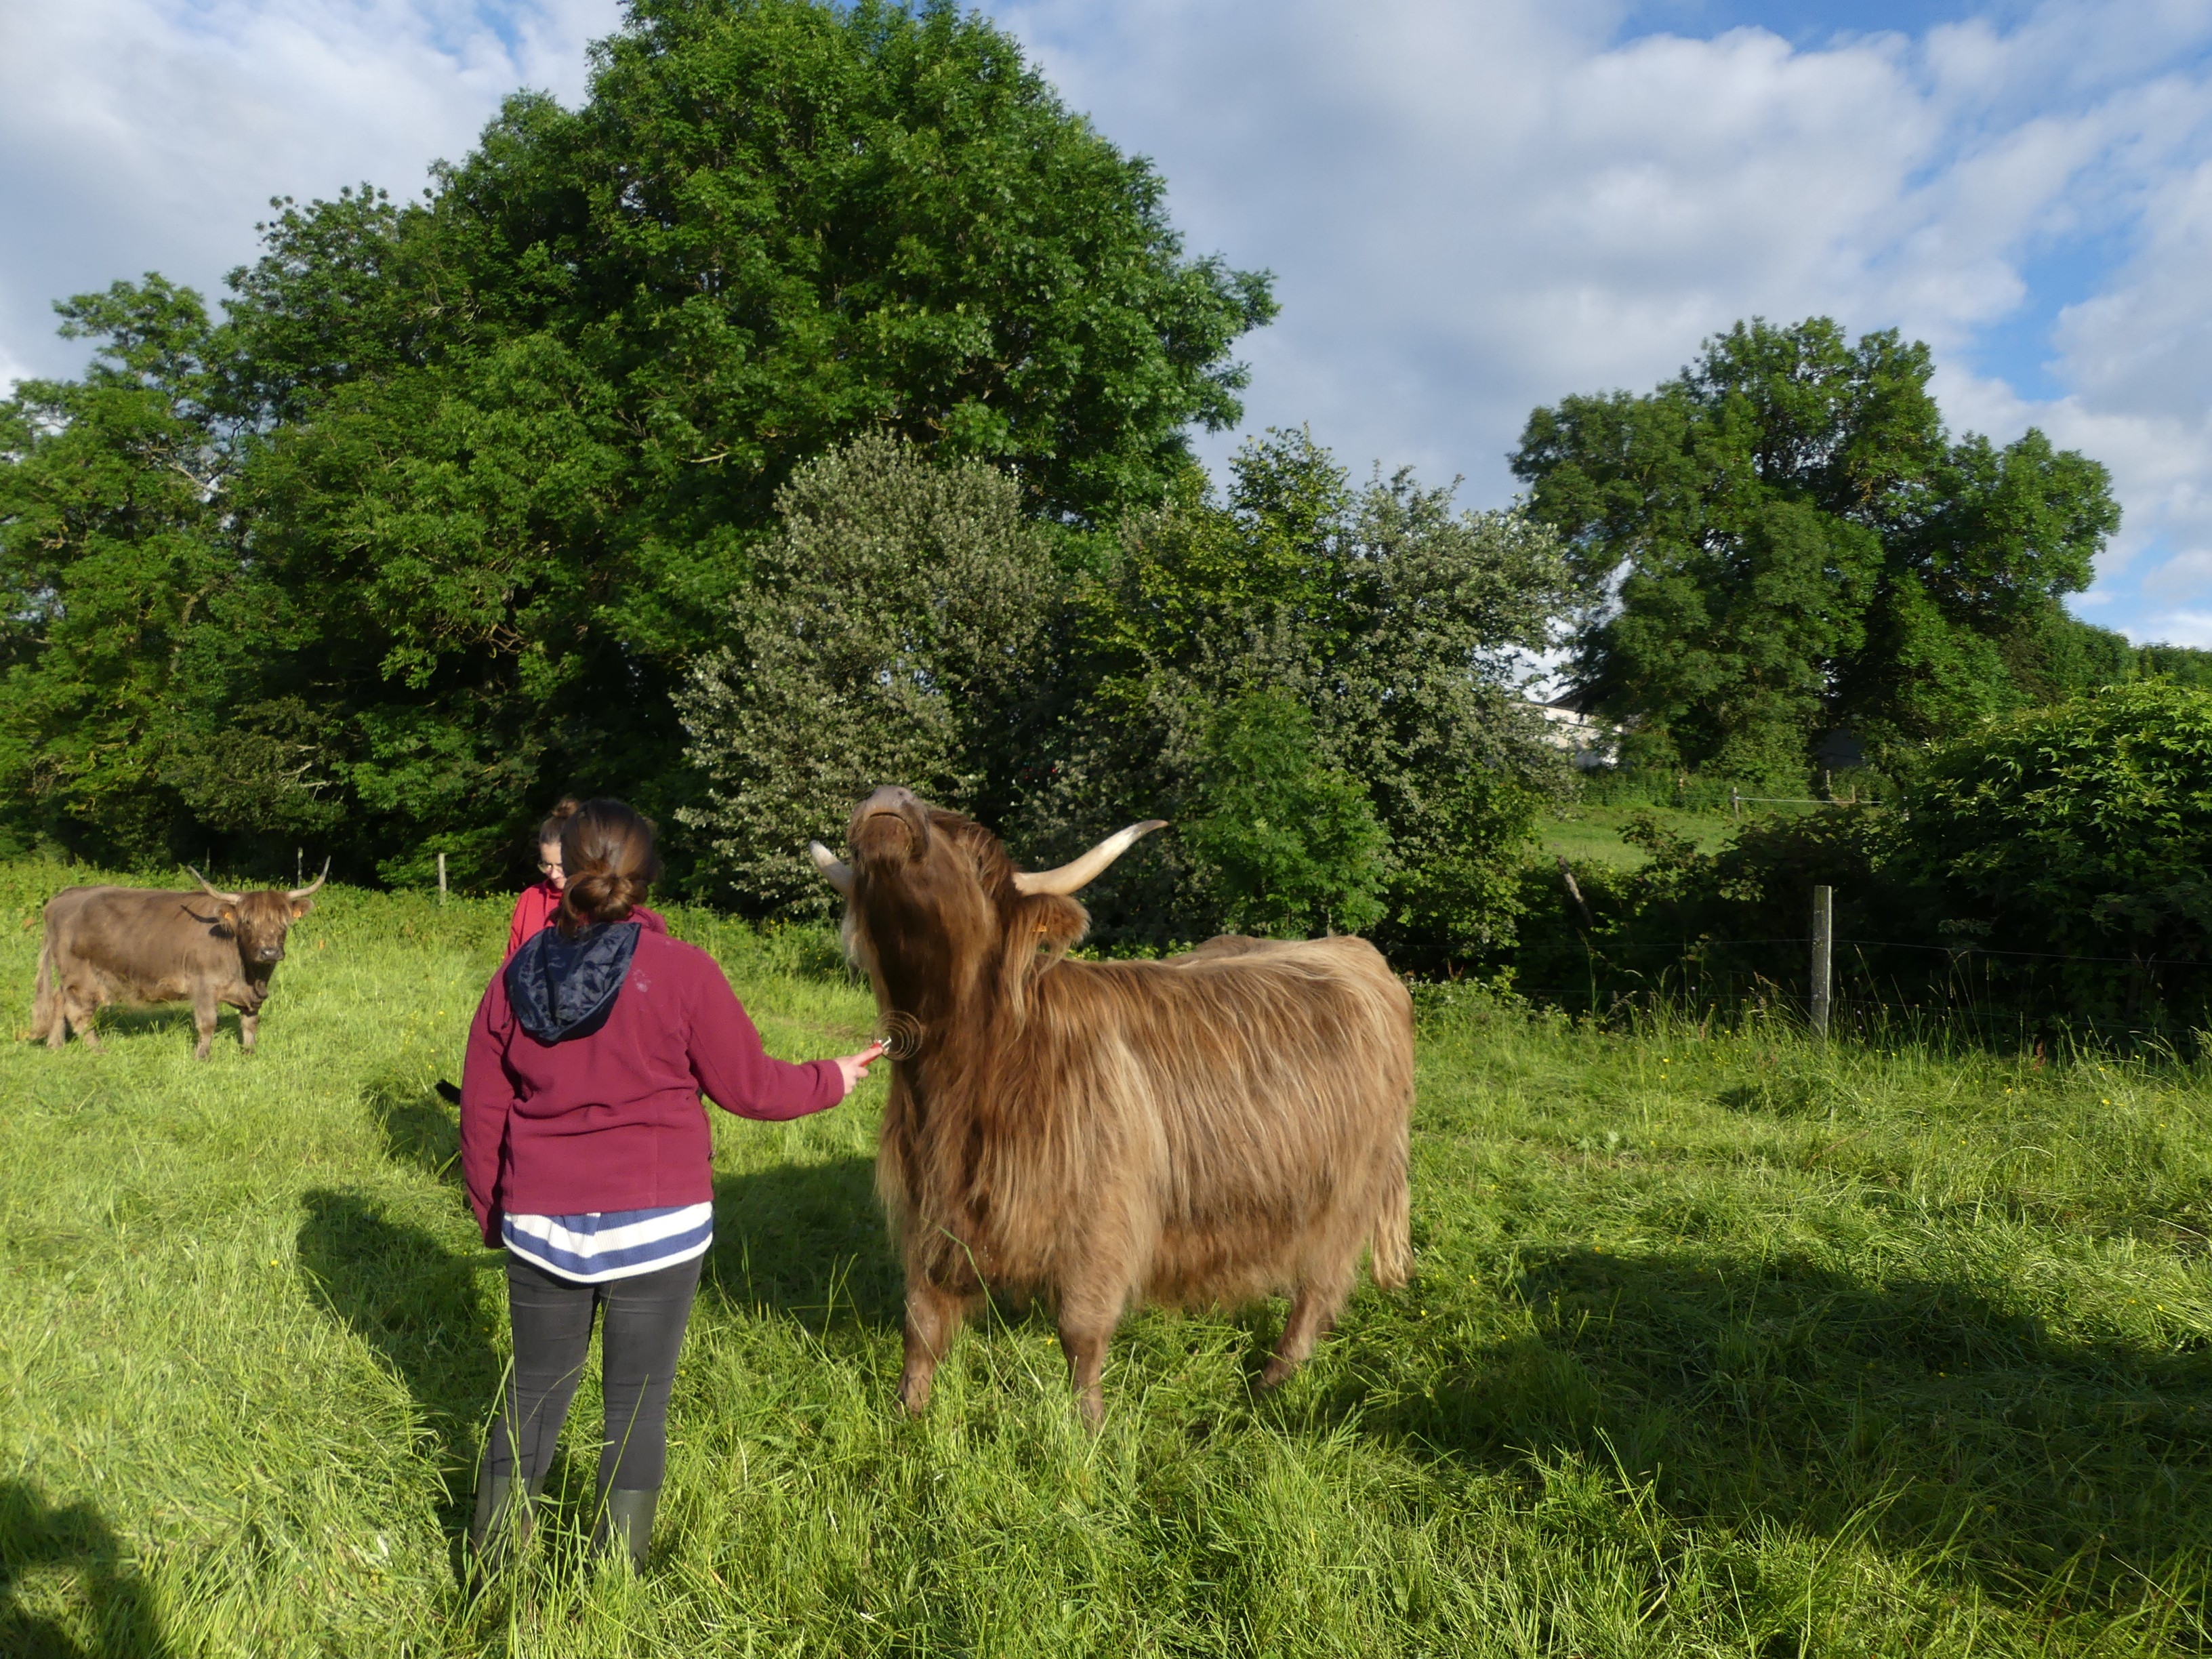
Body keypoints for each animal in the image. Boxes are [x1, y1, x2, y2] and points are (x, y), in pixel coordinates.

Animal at [814, 787, 1415, 1425]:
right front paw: (908, 1412)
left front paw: (1088, 1427)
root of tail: (1355, 951)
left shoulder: (1102, 1214)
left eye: (976, 856)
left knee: (1320, 1286)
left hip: (1349, 1193)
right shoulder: (932, 1204)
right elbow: (922, 1320)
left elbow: (1080, 1330)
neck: (966, 1077)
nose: (889, 799)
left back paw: (1273, 1381)